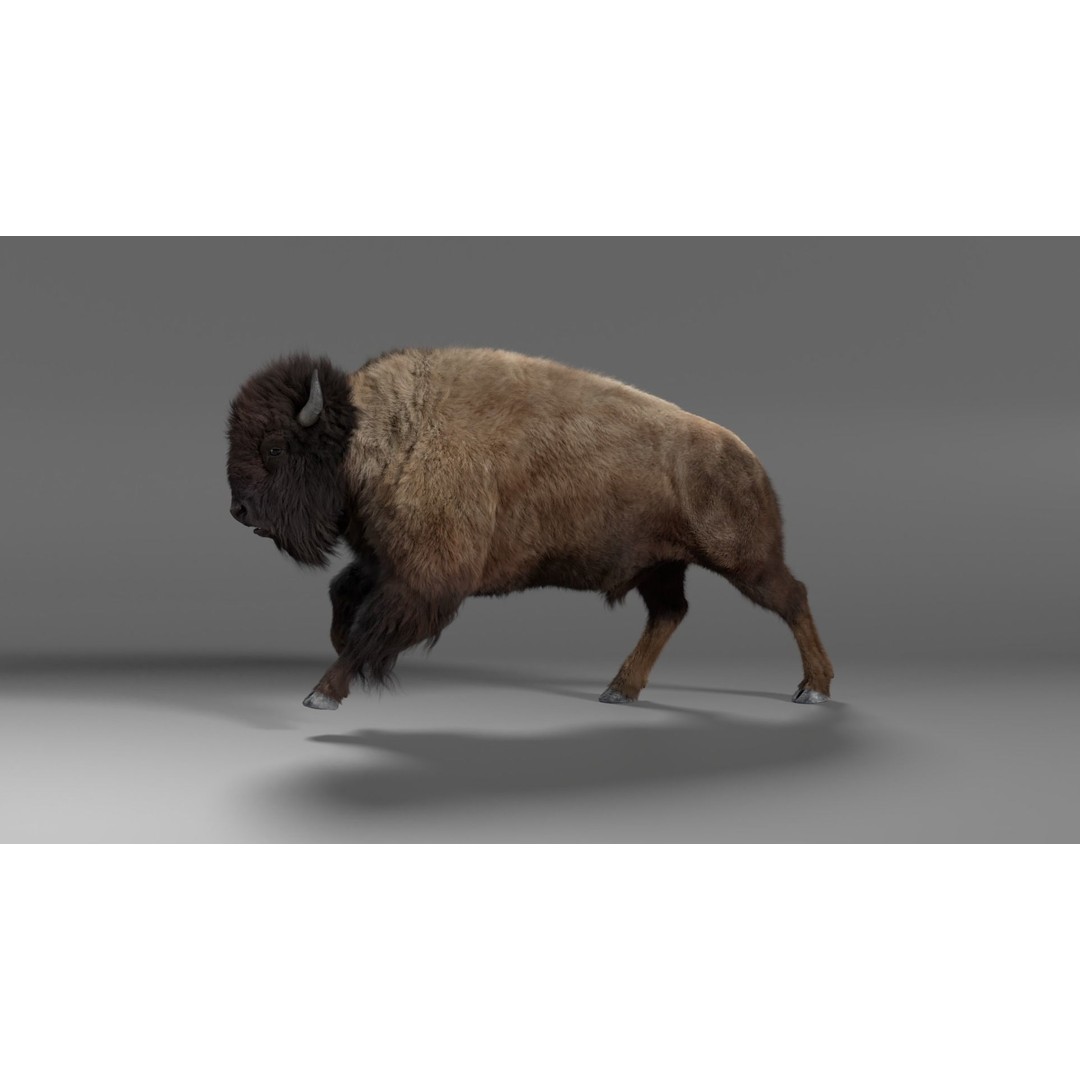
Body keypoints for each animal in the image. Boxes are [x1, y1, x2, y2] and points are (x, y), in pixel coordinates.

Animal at [226, 348, 834, 710]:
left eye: (275, 447)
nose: (239, 511)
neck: (377, 431)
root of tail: (744, 455)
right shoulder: (383, 561)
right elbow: (342, 594)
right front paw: (335, 648)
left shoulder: (425, 577)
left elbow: (372, 627)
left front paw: (323, 692)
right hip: (660, 565)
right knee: (670, 612)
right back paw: (619, 690)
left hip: (746, 560)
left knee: (793, 597)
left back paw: (814, 689)